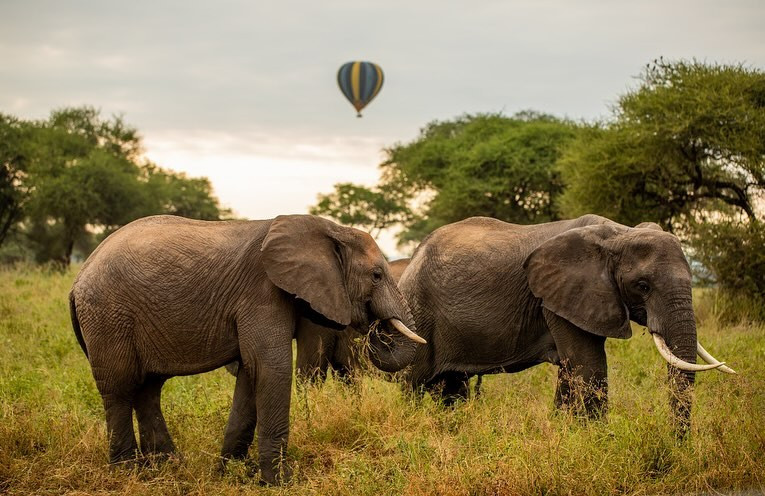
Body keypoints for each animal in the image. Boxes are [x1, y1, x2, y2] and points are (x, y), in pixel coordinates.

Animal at [68, 214, 424, 484]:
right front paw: (281, 481)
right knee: (119, 388)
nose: (376, 329)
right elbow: (271, 367)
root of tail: (79, 277)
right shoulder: (262, 293)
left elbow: (250, 374)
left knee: (148, 388)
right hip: (108, 317)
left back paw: (169, 466)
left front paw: (232, 473)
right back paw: (129, 472)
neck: (327, 228)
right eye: (376, 275)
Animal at [396, 213, 732, 430]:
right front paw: (598, 441)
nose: (679, 444)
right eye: (643, 286)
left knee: (452, 386)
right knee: (413, 383)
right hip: (417, 313)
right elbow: (590, 367)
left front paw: (566, 432)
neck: (618, 234)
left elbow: (572, 371)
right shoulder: (558, 296)